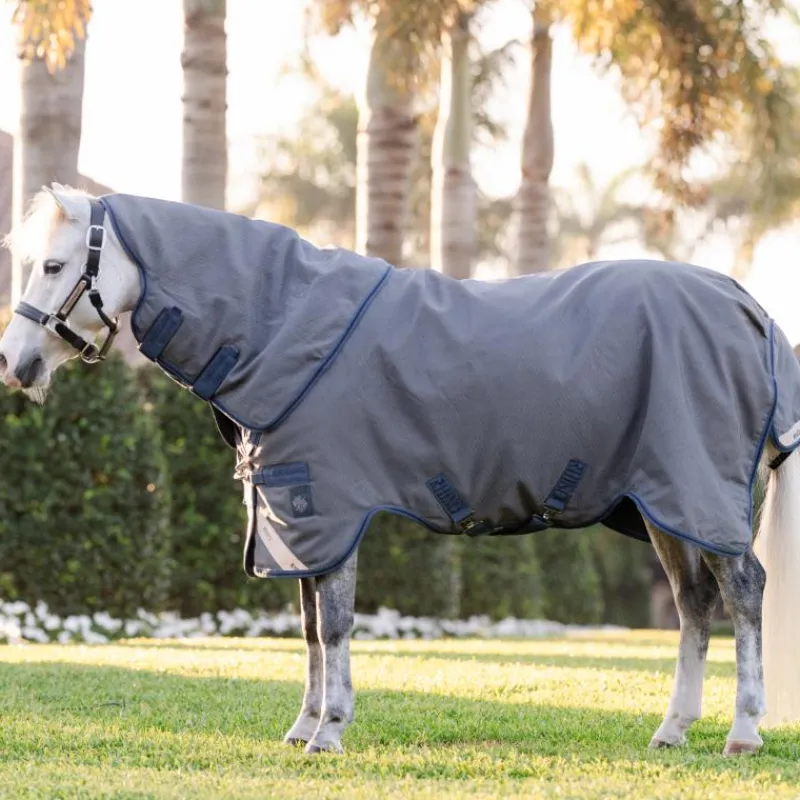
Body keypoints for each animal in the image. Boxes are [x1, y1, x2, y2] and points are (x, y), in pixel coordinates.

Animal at [1, 184, 799, 757]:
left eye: (53, 266)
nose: (14, 364)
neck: (280, 328)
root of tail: (751, 310)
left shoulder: (328, 508)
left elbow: (335, 626)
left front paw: (329, 732)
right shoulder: (298, 519)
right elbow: (310, 628)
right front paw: (303, 727)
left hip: (702, 492)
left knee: (744, 593)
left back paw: (743, 731)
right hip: (663, 504)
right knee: (694, 605)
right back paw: (672, 731)